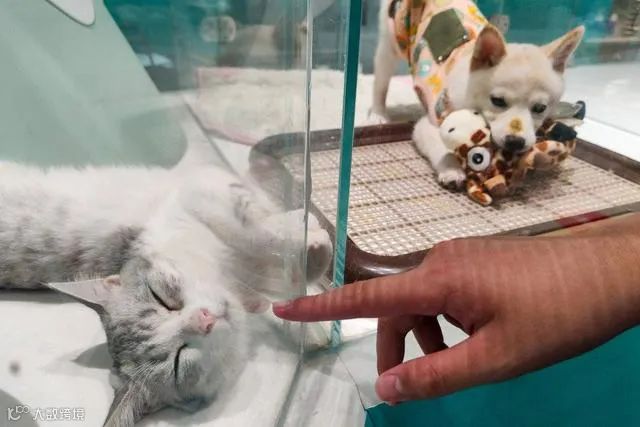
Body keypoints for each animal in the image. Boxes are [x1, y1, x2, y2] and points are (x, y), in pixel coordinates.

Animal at [0, 161, 333, 426]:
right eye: (178, 361)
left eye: (162, 299)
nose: (204, 319)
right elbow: (271, 289)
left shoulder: (199, 197)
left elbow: (255, 235)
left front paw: (305, 236)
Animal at [369, 0, 585, 188]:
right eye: (497, 101)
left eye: (540, 108)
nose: (515, 142)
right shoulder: (428, 123)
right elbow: (441, 148)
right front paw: (451, 170)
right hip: (391, 42)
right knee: (381, 81)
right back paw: (378, 113)